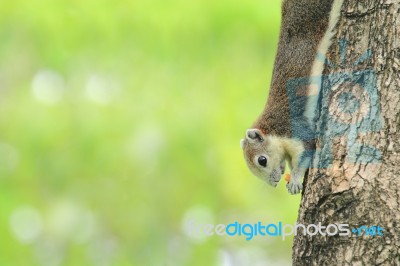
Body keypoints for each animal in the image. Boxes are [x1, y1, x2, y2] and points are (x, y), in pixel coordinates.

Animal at [239, 0, 346, 195]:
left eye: (262, 160)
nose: (274, 182)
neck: (272, 128)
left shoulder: (292, 128)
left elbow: (306, 151)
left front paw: (295, 180)